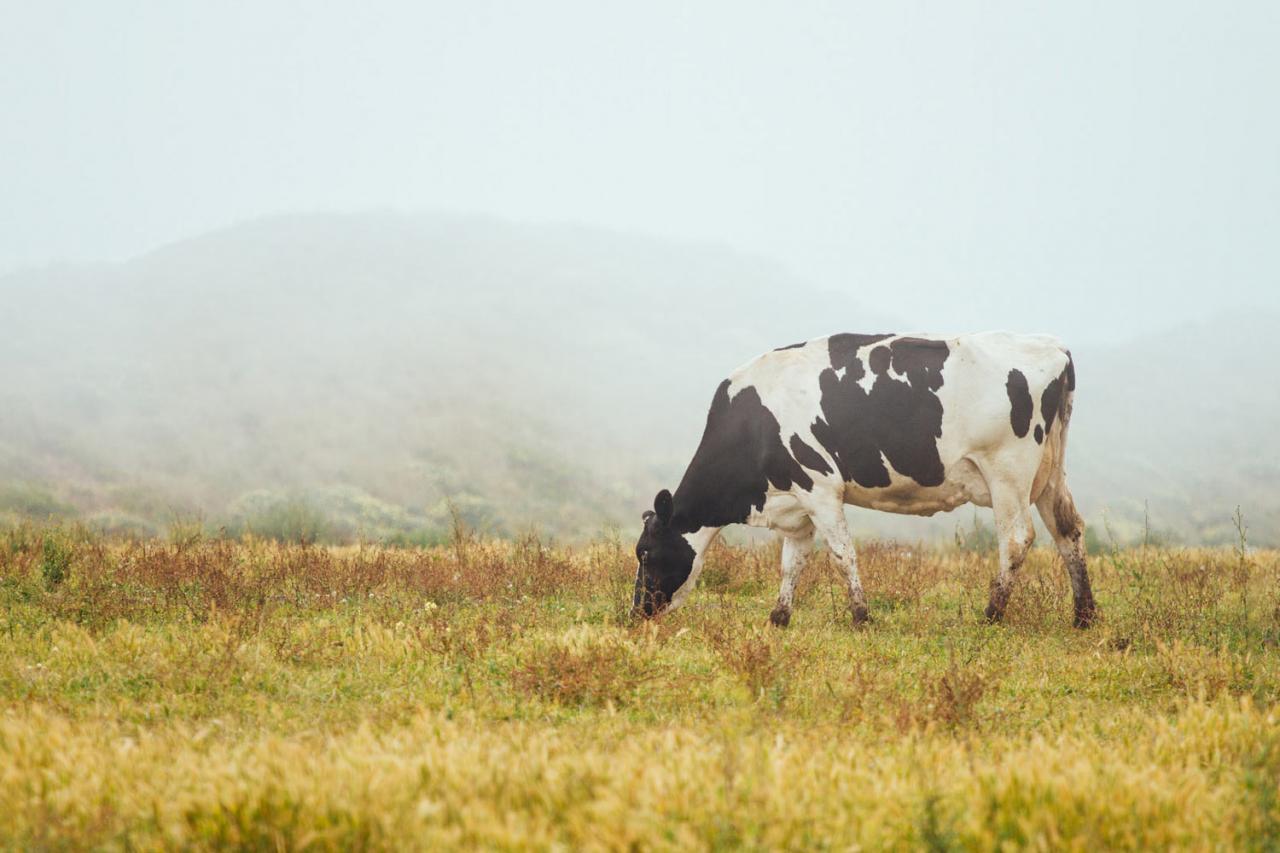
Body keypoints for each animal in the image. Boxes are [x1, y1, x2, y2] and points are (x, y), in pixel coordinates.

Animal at [634, 327, 1095, 627]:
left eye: (645, 553)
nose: (636, 612)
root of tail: (1054, 346)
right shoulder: (796, 506)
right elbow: (791, 562)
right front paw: (779, 617)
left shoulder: (819, 486)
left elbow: (842, 554)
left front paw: (861, 616)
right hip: (1050, 472)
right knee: (1067, 529)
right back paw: (1084, 615)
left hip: (1008, 470)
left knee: (1017, 538)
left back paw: (992, 614)